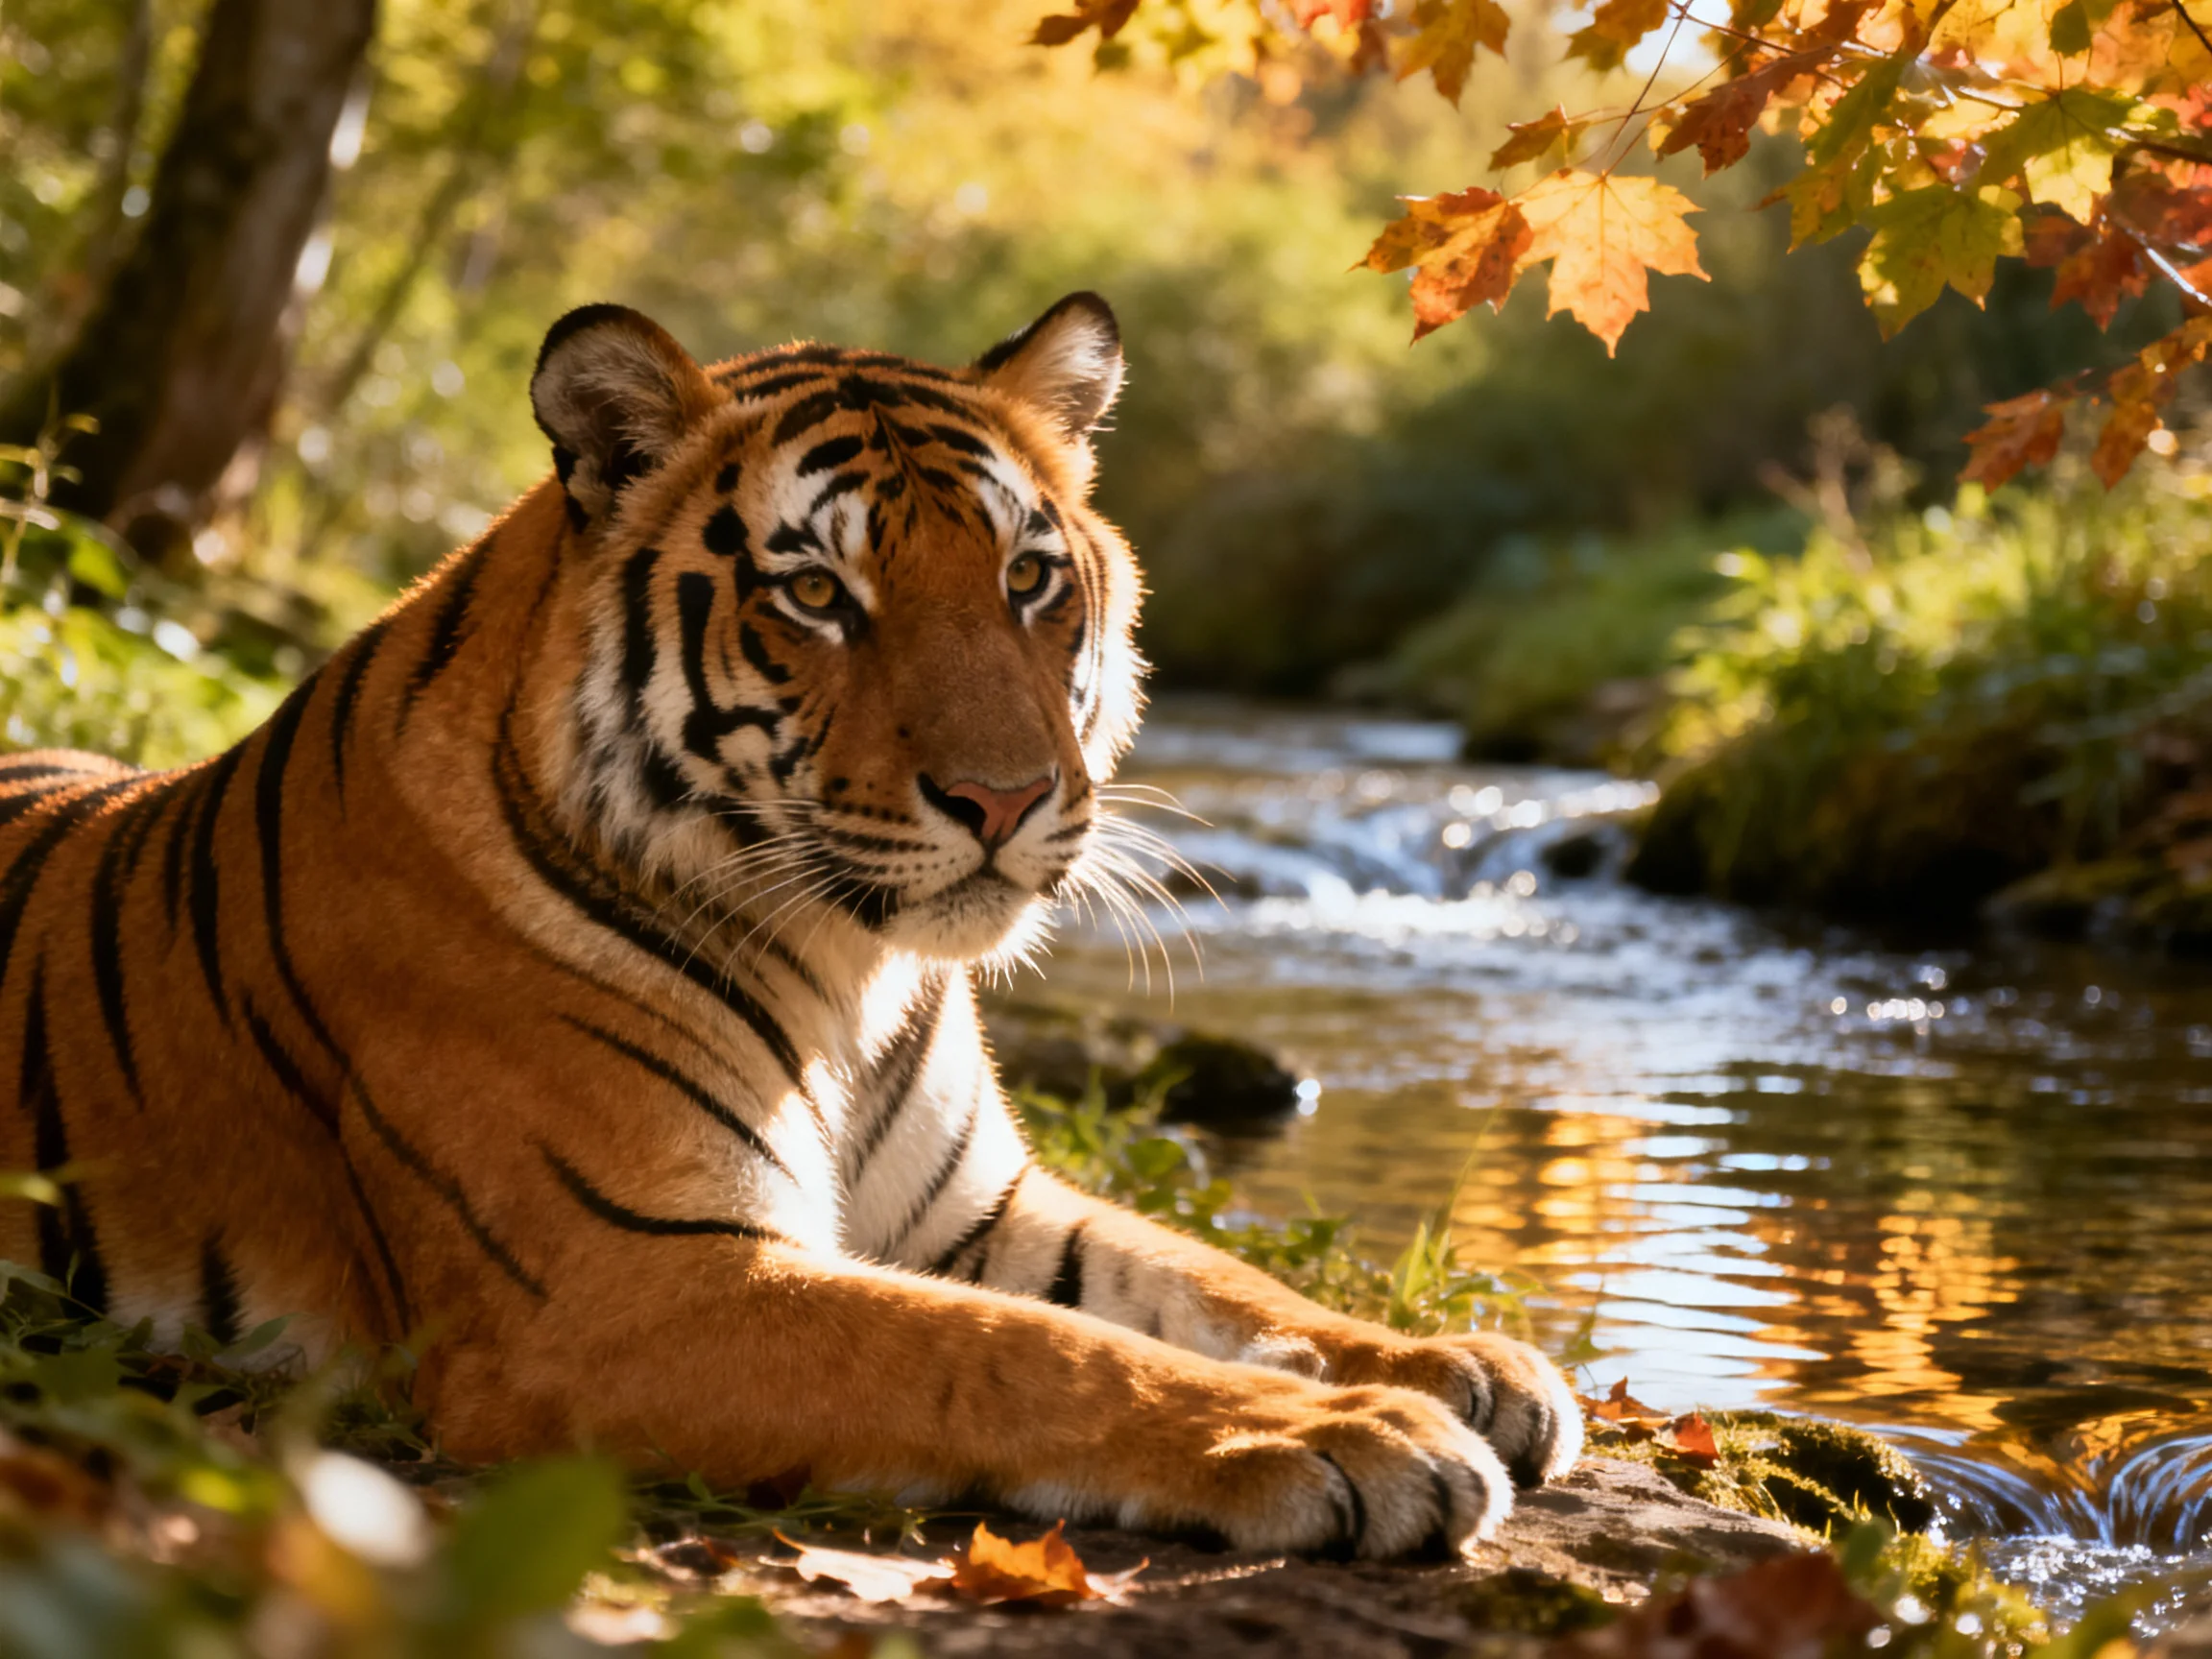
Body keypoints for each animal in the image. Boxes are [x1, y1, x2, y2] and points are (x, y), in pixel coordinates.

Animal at [0, 294, 1579, 1558]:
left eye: (1026, 577)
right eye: (818, 593)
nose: (1007, 797)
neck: (852, 979)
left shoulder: (978, 1208)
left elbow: (1203, 1274)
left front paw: (1454, 1364)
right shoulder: (622, 1282)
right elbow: (1016, 1353)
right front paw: (1347, 1434)